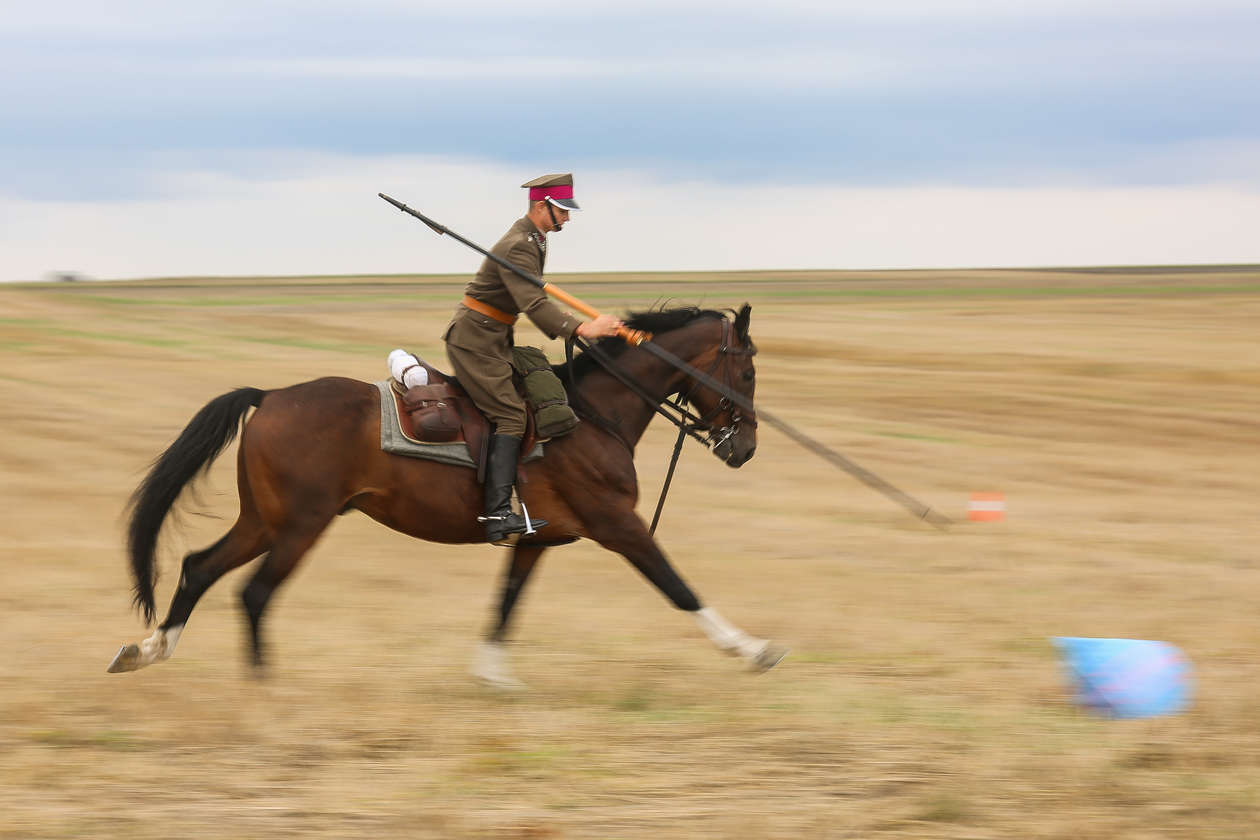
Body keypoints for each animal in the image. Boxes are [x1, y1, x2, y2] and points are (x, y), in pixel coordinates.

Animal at [108, 306, 781, 685]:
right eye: (748, 371)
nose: (745, 448)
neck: (594, 414)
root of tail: (269, 395)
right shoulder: (619, 526)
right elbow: (679, 589)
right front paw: (751, 649)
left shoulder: (538, 540)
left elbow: (506, 604)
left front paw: (492, 677)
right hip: (300, 525)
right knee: (254, 593)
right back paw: (263, 689)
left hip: (265, 521)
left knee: (199, 568)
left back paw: (147, 651)